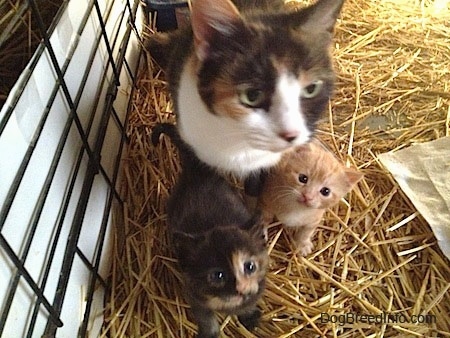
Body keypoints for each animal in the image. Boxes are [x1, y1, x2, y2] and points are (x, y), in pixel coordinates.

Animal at [153, 122, 268, 338]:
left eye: (250, 267)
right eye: (218, 275)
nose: (240, 288)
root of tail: (197, 173)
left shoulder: (257, 286)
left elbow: (249, 302)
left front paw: (248, 316)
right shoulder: (194, 293)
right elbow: (205, 318)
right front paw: (210, 332)